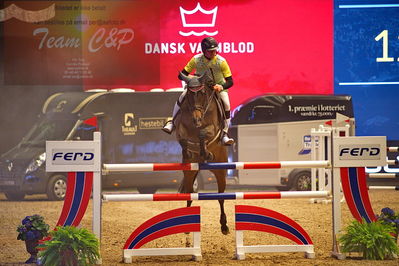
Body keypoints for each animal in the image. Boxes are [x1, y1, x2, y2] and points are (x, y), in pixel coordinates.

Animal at [176, 71, 230, 235]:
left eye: (202, 93)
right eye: (189, 95)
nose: (197, 119)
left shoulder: (212, 128)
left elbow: (203, 134)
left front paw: (206, 152)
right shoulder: (181, 128)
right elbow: (183, 138)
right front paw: (189, 151)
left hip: (220, 171)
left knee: (221, 197)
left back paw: (224, 226)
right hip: (189, 173)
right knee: (189, 195)